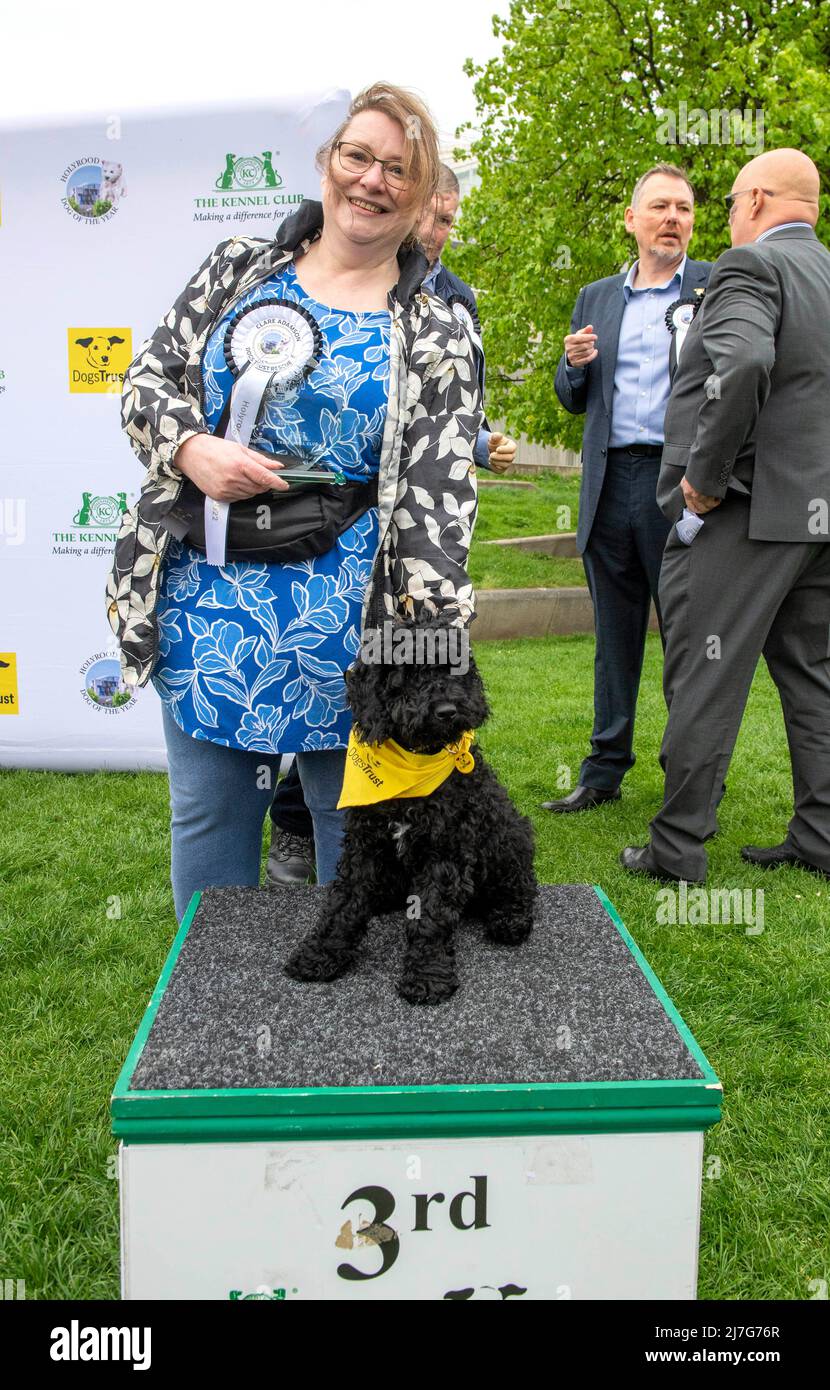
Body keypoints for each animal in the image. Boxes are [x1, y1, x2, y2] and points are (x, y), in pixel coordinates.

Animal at [282, 617, 533, 1000]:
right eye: (408, 672)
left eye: (453, 667)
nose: (447, 711)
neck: (413, 763)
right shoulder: (364, 843)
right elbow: (344, 902)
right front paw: (321, 953)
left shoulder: (444, 851)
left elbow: (429, 917)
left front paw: (427, 975)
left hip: (510, 836)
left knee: (521, 886)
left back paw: (511, 919)